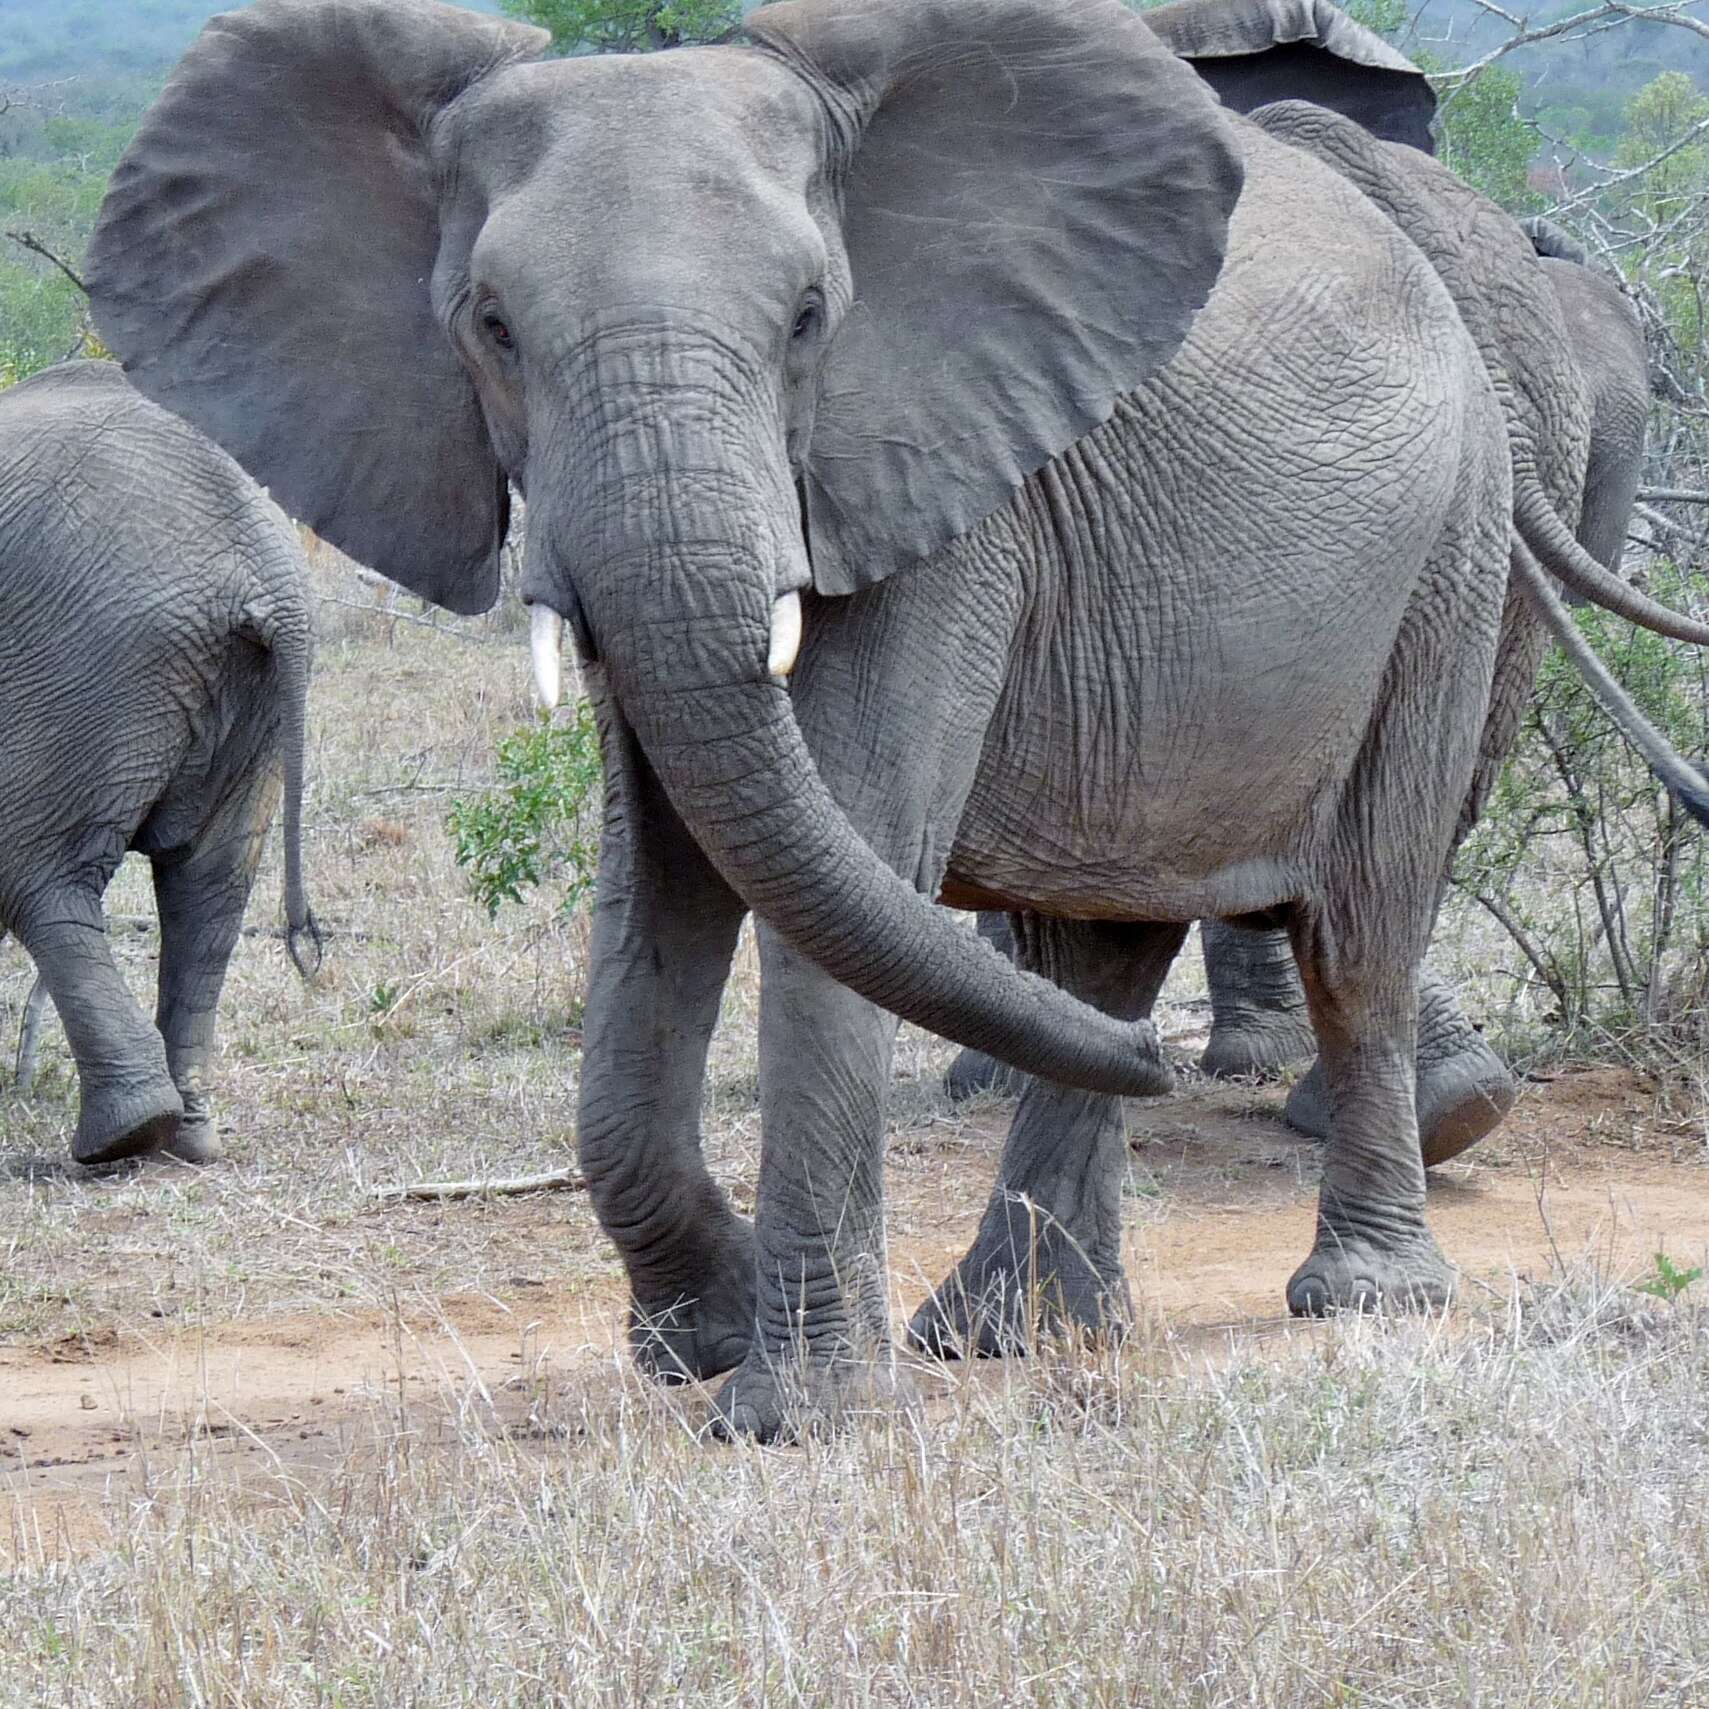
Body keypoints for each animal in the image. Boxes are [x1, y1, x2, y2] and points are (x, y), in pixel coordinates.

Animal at [0, 358, 319, 1162]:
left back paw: (120, 1140)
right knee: (210, 889)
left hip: (82, 656)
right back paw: (188, 1138)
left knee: (34, 876)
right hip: (257, 697)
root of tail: (262, 559)